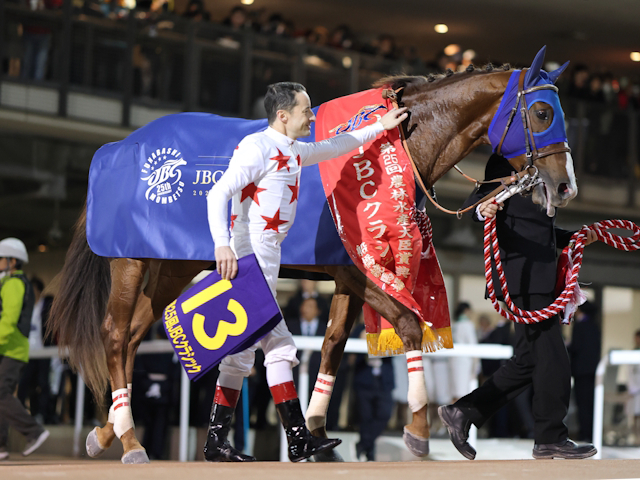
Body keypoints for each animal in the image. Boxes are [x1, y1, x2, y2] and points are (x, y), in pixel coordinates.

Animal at [48, 47, 577, 463]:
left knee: (137, 331)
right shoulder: (355, 268)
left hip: (171, 266)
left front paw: (319, 431)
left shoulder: (348, 276)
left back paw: (106, 432)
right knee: (116, 334)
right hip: (130, 261)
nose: (565, 187)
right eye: (543, 113)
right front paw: (418, 428)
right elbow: (408, 324)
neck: (393, 149)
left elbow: (333, 346)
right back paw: (130, 439)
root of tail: (118, 146)